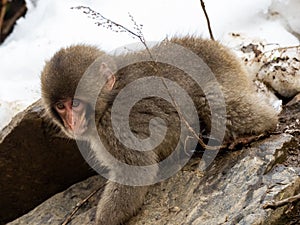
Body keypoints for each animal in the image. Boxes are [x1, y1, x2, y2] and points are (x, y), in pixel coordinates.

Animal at [41, 37, 278, 225]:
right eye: (61, 106)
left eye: (75, 103)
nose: (71, 123)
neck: (107, 100)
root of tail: (220, 50)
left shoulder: (115, 124)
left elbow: (136, 171)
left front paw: (103, 221)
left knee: (208, 99)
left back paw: (263, 125)